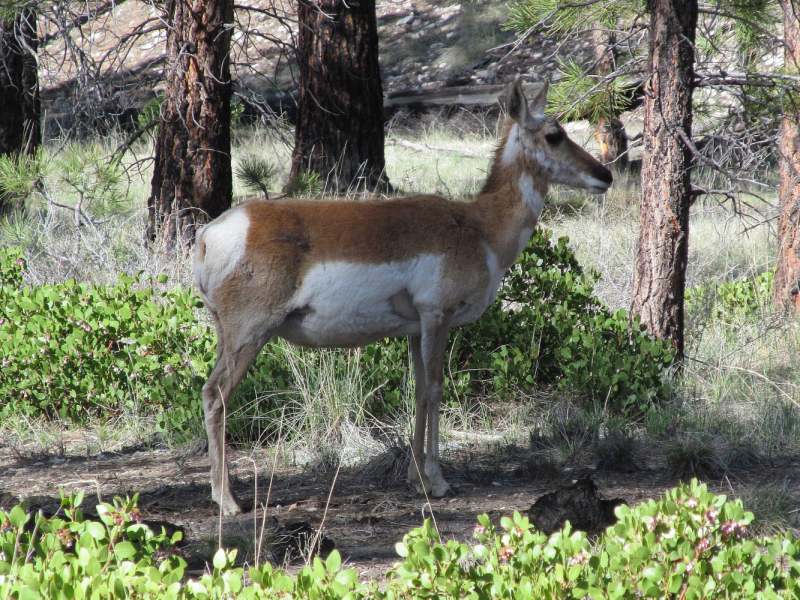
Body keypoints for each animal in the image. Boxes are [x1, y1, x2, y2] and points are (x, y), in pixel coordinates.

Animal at [194, 78, 612, 516]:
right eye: (554, 135)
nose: (606, 175)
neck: (477, 226)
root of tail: (210, 234)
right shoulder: (437, 317)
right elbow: (436, 388)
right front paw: (438, 481)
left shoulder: (414, 329)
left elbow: (418, 390)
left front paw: (416, 478)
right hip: (250, 335)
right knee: (215, 394)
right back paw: (228, 501)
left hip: (228, 335)